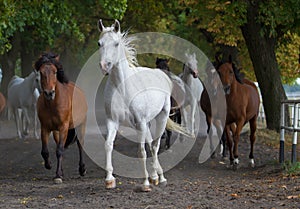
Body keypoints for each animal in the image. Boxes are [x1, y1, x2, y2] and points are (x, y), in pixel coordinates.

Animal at [34, 52, 88, 183]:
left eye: (54, 72)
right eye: (41, 72)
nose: (49, 93)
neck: (52, 104)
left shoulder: (63, 127)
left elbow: (59, 150)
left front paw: (58, 175)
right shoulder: (45, 128)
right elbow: (45, 151)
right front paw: (49, 165)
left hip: (81, 125)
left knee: (80, 145)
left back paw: (82, 169)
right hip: (57, 132)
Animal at [97, 19, 189, 191]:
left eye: (116, 43)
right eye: (99, 43)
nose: (105, 66)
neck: (122, 87)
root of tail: (162, 75)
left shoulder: (140, 122)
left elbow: (141, 151)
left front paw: (145, 183)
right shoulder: (112, 121)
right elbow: (108, 145)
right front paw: (109, 180)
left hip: (161, 117)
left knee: (155, 145)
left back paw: (158, 177)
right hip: (147, 123)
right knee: (151, 143)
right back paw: (155, 176)